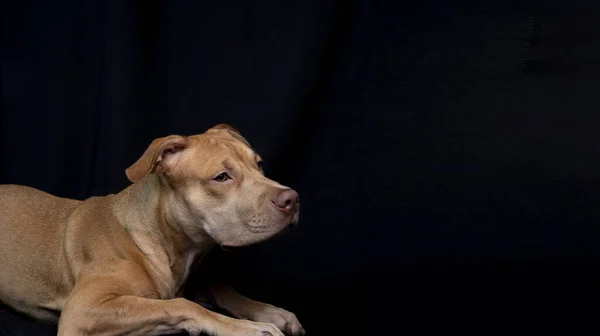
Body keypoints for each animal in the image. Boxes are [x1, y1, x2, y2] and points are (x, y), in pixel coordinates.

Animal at [0, 124, 302, 334]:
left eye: (259, 164)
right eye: (221, 177)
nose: (292, 199)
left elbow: (219, 285)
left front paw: (266, 310)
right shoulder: (83, 310)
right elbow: (181, 304)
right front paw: (246, 327)